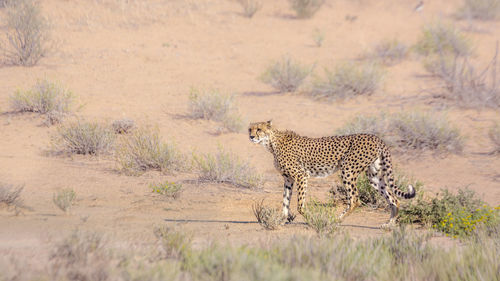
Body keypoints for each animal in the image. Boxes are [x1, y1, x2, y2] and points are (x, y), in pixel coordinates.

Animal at [248, 120, 416, 228]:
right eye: (250, 129)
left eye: (259, 129)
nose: (251, 136)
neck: (271, 142)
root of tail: (375, 137)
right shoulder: (288, 179)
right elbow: (285, 202)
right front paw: (282, 220)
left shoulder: (301, 175)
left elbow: (300, 205)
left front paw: (312, 219)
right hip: (373, 176)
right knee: (393, 198)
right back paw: (389, 223)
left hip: (347, 170)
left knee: (355, 200)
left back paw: (335, 219)